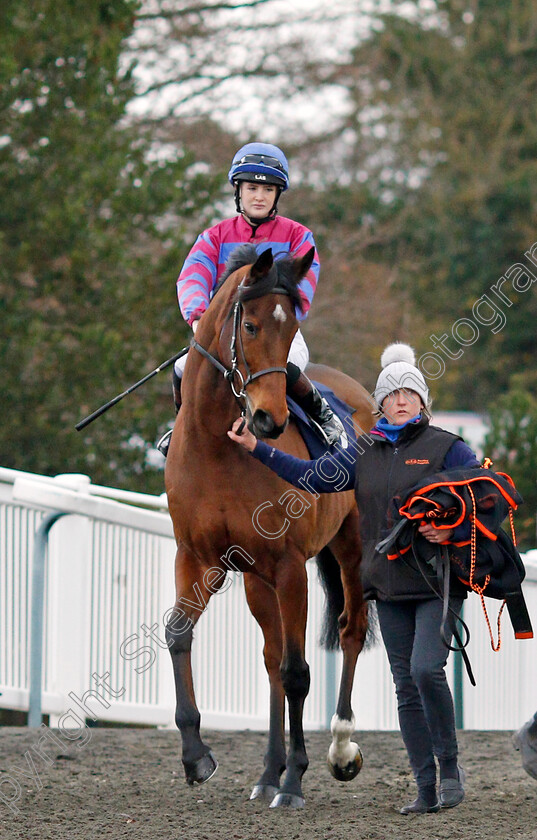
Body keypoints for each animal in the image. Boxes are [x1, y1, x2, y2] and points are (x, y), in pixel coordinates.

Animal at [163, 243, 372, 808]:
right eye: (251, 326)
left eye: (291, 323)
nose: (269, 421)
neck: (217, 448)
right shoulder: (199, 558)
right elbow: (178, 634)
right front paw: (195, 755)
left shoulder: (289, 566)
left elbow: (298, 672)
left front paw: (296, 779)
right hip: (257, 579)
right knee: (271, 654)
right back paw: (267, 772)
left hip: (352, 547)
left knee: (350, 630)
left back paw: (339, 749)